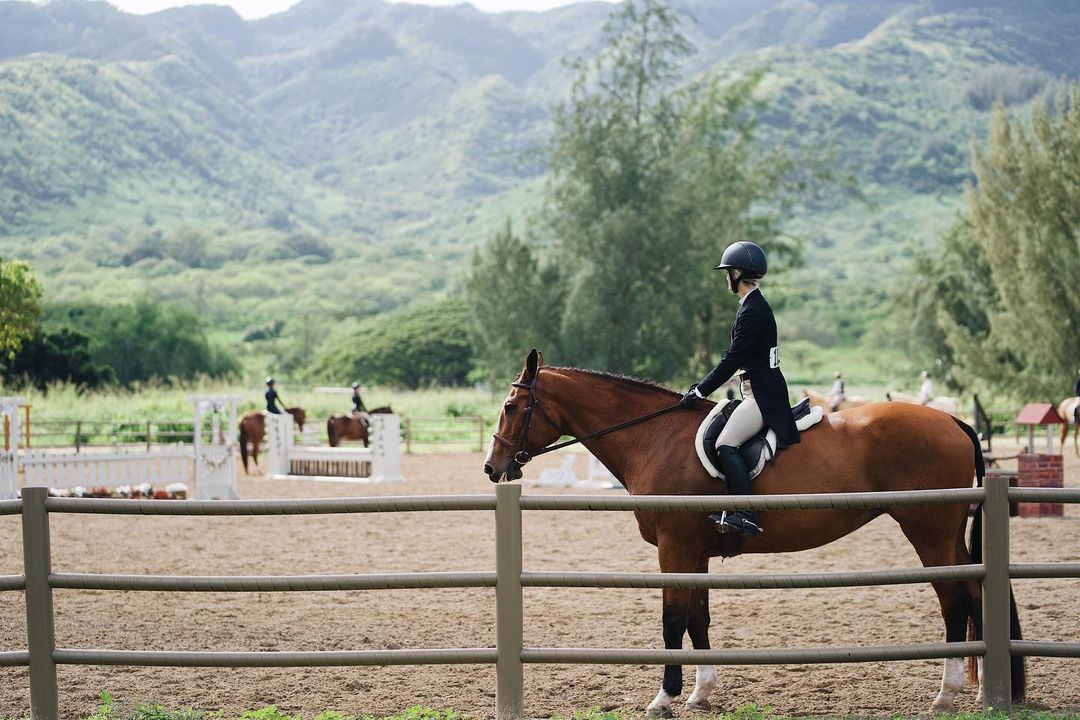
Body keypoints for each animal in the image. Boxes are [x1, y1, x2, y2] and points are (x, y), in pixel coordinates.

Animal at [486, 349, 1023, 716]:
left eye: (511, 406)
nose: (494, 468)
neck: (654, 438)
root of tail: (953, 420)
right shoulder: (694, 551)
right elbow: (697, 619)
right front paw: (700, 693)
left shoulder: (674, 549)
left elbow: (672, 620)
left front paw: (664, 697)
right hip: (947, 535)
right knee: (976, 595)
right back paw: (981, 689)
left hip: (928, 531)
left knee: (954, 601)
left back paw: (946, 694)